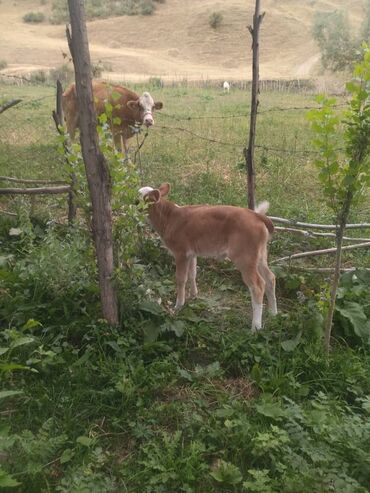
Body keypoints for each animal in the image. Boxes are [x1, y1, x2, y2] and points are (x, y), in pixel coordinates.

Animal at [139, 183, 278, 328]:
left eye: (138, 201)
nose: (132, 205)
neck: (169, 218)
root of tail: (256, 215)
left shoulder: (181, 253)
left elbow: (181, 279)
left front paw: (178, 305)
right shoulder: (191, 254)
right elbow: (192, 274)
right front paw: (193, 295)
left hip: (245, 257)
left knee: (258, 286)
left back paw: (256, 326)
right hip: (260, 255)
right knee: (270, 278)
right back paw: (273, 313)